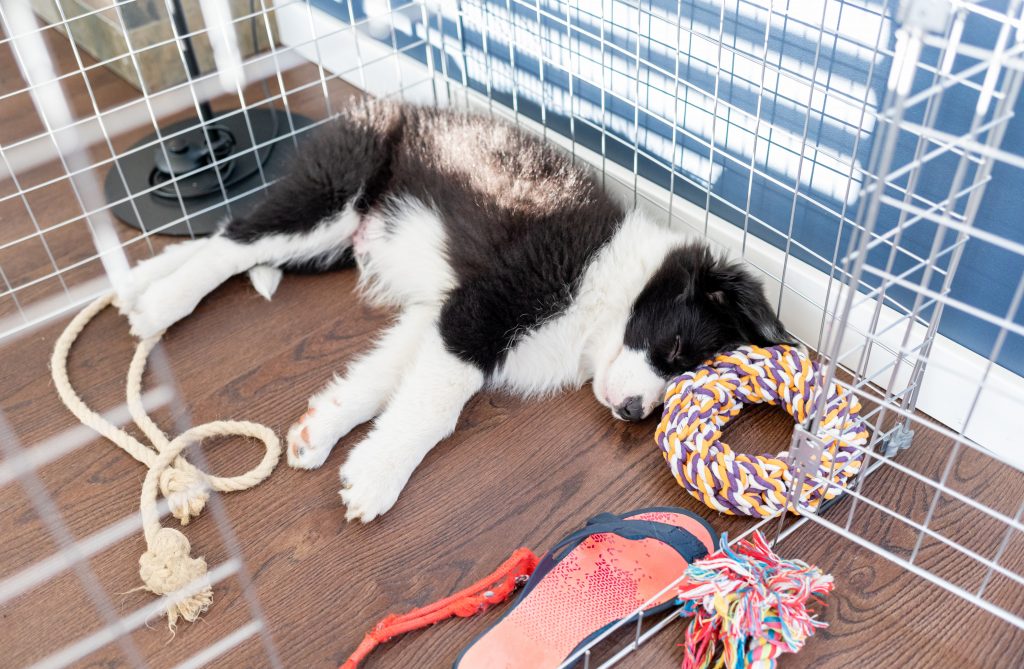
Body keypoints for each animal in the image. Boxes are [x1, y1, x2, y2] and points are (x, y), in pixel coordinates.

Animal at [119, 99, 790, 522]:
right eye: (673, 349)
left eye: (684, 375)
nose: (632, 412)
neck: (610, 289)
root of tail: (388, 107)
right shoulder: (488, 306)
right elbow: (437, 405)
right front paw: (379, 477)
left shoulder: (441, 312)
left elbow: (384, 380)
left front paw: (324, 430)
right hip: (335, 197)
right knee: (238, 240)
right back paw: (159, 305)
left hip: (328, 240)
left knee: (236, 235)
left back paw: (138, 284)